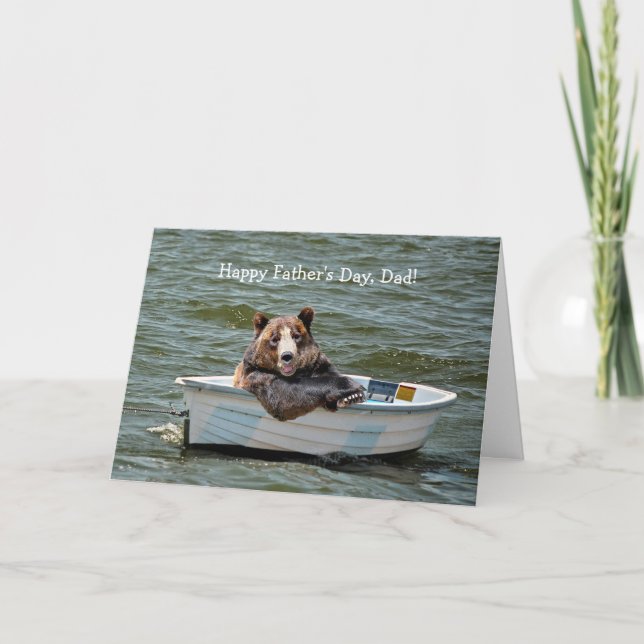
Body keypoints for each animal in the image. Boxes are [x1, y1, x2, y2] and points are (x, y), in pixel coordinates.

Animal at [232, 306, 365, 421]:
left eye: (296, 336)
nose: (287, 356)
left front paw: (352, 397)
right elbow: (286, 395)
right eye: (275, 339)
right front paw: (350, 384)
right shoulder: (258, 375)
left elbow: (328, 372)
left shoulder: (317, 364)